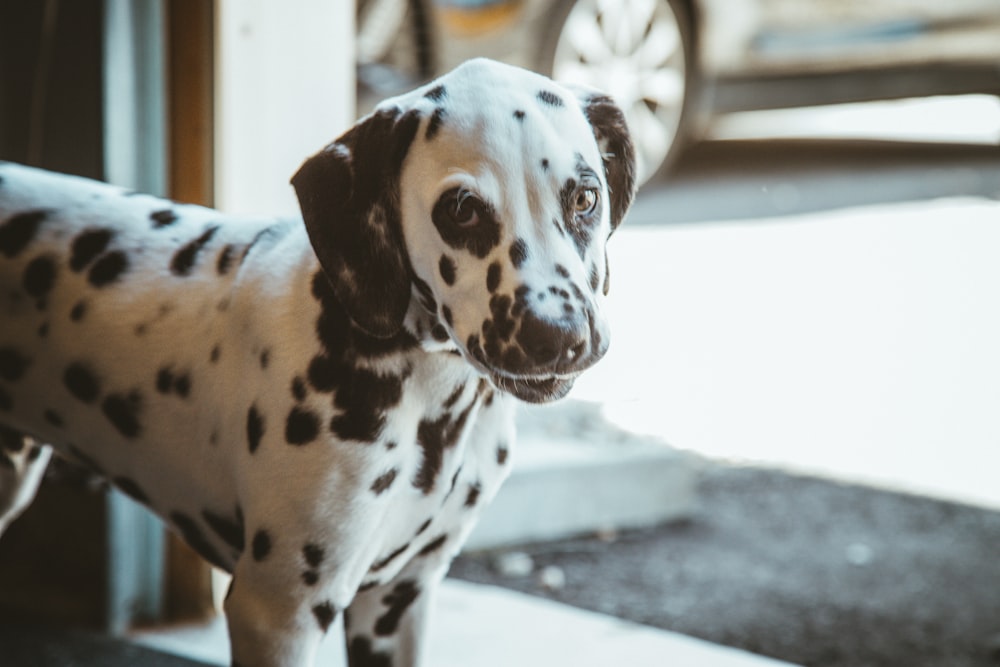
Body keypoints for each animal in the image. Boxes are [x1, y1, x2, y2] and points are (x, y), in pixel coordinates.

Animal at [0, 60, 636, 664]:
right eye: (462, 211)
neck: (431, 401)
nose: (557, 334)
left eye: (585, 197)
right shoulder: (280, 616)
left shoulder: (396, 602)